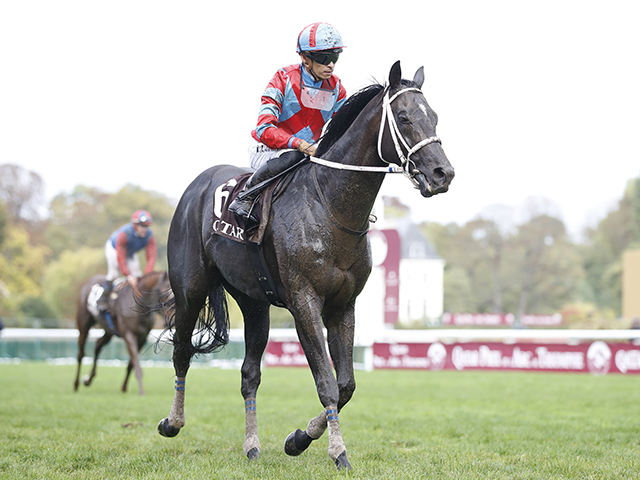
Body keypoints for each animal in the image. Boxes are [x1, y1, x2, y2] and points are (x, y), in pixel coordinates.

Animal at [157, 61, 452, 468]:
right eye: (405, 118)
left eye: (435, 117)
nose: (443, 173)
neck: (330, 206)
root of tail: (196, 186)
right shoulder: (305, 302)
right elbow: (326, 383)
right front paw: (338, 451)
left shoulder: (343, 305)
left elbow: (346, 385)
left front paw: (298, 439)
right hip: (190, 289)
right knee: (182, 352)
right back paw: (172, 422)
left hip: (254, 303)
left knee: (249, 373)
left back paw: (252, 445)